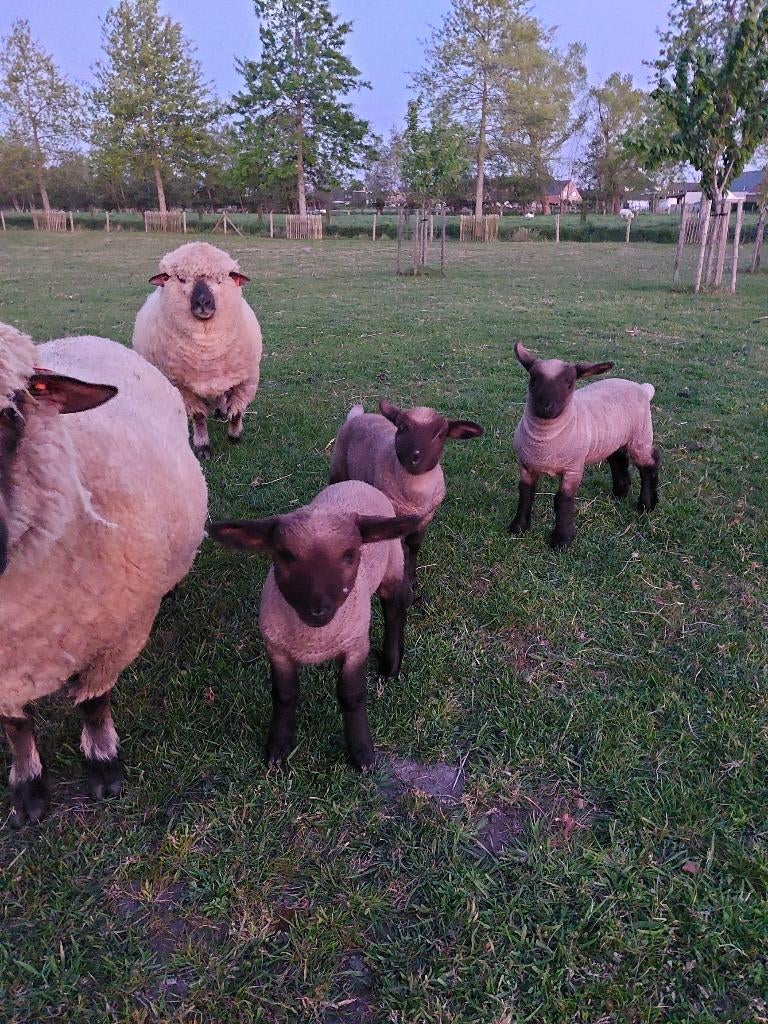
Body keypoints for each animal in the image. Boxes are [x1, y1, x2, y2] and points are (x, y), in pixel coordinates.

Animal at [0, 323, 207, 825]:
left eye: (11, 413)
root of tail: (83, 337)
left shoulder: (116, 636)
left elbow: (94, 703)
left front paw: (103, 766)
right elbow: (16, 726)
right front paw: (28, 790)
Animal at [132, 241, 263, 459]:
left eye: (220, 279)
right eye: (181, 279)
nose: (203, 302)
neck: (207, 349)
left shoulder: (247, 379)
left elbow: (236, 411)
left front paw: (235, 435)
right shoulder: (180, 386)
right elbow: (199, 416)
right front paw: (203, 446)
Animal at [209, 481, 420, 771]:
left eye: (350, 554)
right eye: (285, 555)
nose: (318, 609)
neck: (314, 638)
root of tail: (358, 482)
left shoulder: (356, 646)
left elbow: (352, 696)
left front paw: (362, 753)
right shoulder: (277, 649)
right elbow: (284, 695)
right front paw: (278, 747)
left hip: (393, 566)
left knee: (395, 611)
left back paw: (390, 666)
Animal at [328, 401, 483, 583]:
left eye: (440, 435)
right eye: (402, 427)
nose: (415, 459)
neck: (414, 498)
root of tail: (358, 415)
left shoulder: (424, 519)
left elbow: (414, 547)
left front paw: (413, 579)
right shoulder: (392, 518)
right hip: (338, 468)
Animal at [509, 342, 659, 550]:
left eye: (569, 382)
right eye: (533, 379)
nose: (546, 407)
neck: (544, 441)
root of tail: (643, 389)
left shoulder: (573, 469)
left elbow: (562, 501)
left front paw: (562, 540)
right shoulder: (526, 465)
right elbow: (525, 494)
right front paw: (518, 527)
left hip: (641, 435)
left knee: (650, 464)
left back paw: (646, 505)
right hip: (614, 436)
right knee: (618, 458)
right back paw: (619, 492)